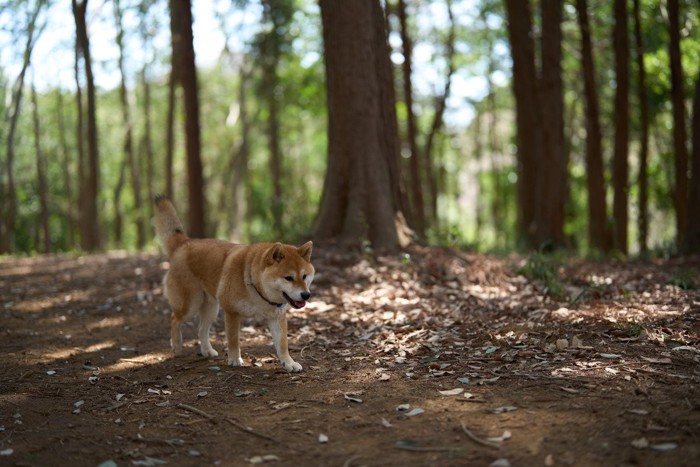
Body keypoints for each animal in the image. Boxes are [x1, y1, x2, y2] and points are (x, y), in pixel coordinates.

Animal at [156, 196, 318, 374]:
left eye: (304, 276)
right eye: (288, 278)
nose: (306, 295)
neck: (255, 287)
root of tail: (184, 243)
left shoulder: (277, 317)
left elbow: (283, 345)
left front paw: (289, 363)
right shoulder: (231, 312)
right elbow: (233, 340)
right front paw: (234, 359)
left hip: (211, 308)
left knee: (201, 330)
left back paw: (207, 351)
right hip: (190, 305)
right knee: (174, 320)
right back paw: (177, 346)